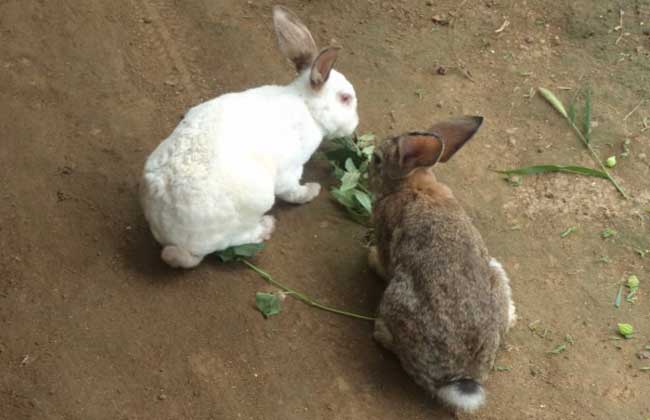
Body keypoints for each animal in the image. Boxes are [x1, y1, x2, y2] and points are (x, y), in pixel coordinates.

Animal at [140, 6, 360, 268]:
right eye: (345, 98)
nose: (355, 126)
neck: (307, 107)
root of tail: (169, 233)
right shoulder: (290, 171)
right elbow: (292, 191)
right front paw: (312, 191)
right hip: (256, 202)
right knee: (228, 242)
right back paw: (266, 227)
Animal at [368, 116, 512, 412]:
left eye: (377, 159)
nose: (366, 168)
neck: (412, 185)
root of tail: (462, 378)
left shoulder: (387, 234)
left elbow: (383, 260)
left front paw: (370, 257)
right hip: (496, 271)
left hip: (397, 298)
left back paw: (380, 331)